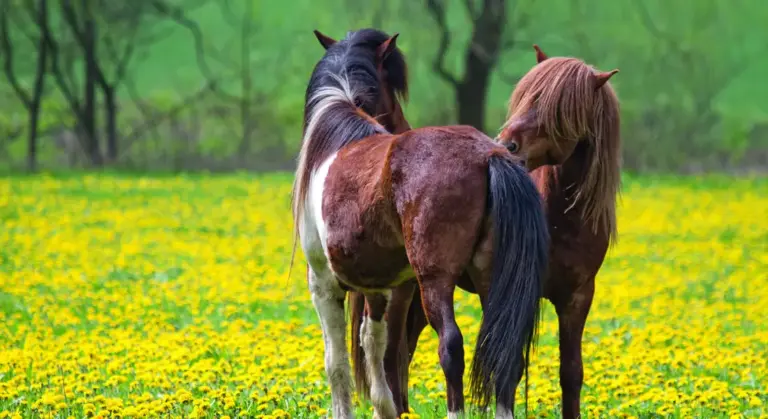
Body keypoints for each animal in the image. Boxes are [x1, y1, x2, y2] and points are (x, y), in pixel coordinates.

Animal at [292, 29, 573, 419]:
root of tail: (490, 156)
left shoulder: (323, 282)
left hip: (435, 282)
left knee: (451, 347)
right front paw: (385, 407)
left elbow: (338, 363)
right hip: (489, 278)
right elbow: (375, 345)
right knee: (504, 354)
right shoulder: (380, 287)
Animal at [348, 45, 621, 418]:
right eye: (523, 98)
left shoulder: (577, 298)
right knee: (392, 351)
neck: (561, 219)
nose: (506, 144)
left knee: (403, 350)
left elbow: (570, 372)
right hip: (405, 290)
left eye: (558, 109)